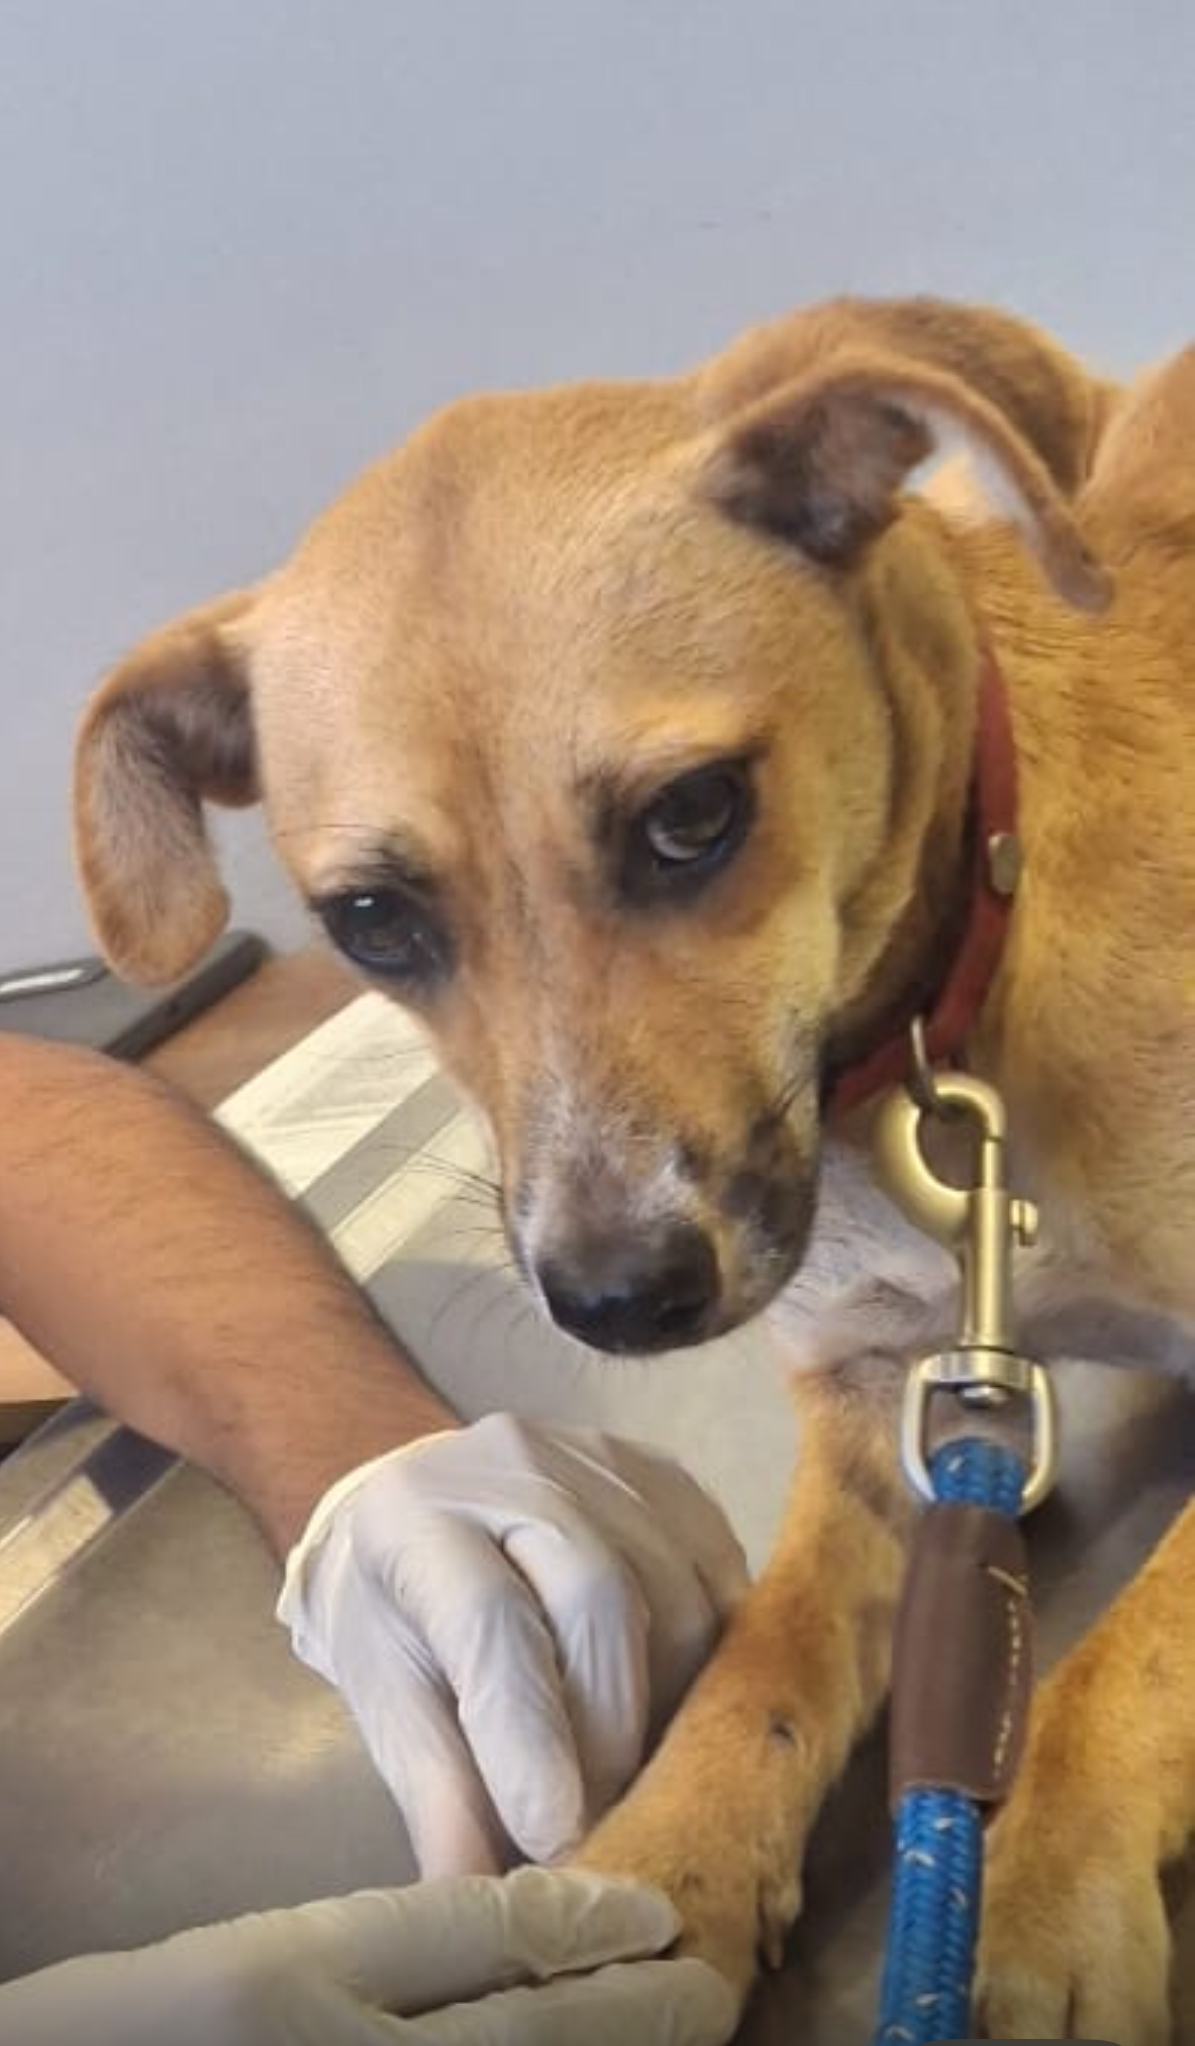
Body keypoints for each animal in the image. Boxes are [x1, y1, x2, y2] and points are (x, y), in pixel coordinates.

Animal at [73, 296, 1195, 2043]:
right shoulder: (872, 1428)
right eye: (370, 921)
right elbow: (759, 1675)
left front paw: (1054, 1879)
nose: (617, 1299)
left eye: (691, 814)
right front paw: (656, 1878)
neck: (941, 1013)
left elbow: (1127, 1651)